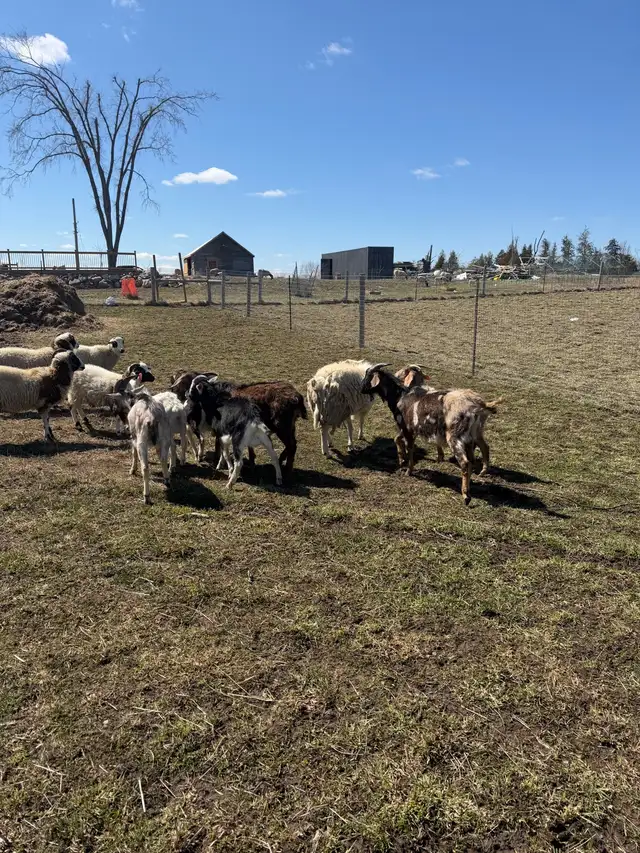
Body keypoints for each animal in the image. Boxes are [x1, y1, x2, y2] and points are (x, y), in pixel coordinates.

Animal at [171, 370, 306, 480]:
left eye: (191, 383)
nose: (187, 394)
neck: (217, 396)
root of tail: (297, 397)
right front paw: (251, 463)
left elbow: (218, 445)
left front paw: (218, 464)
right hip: (290, 427)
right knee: (293, 444)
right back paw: (282, 461)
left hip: (282, 426)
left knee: (292, 446)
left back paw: (287, 470)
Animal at [361, 363, 502, 504]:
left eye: (368, 376)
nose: (362, 389)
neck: (400, 396)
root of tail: (479, 405)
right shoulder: (411, 430)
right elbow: (399, 440)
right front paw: (402, 459)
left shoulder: (407, 429)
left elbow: (409, 448)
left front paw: (408, 470)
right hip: (472, 436)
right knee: (477, 454)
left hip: (455, 438)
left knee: (465, 462)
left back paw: (466, 496)